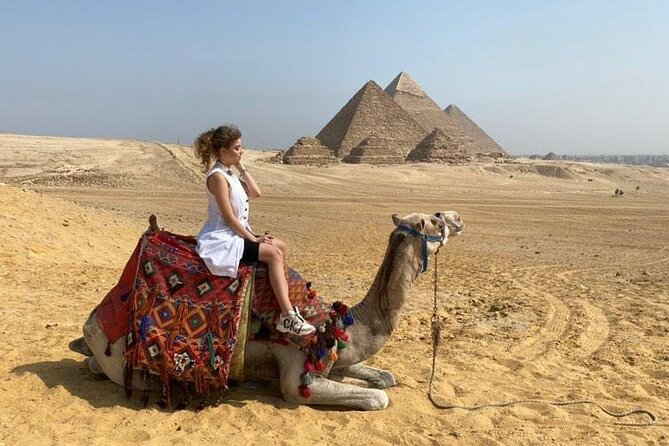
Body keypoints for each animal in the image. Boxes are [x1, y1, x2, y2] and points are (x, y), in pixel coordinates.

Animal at [72, 211, 464, 410]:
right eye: (432, 221)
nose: (456, 217)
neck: (342, 323)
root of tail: (93, 319)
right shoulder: (296, 374)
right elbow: (378, 397)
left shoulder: (337, 356)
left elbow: (384, 378)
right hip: (126, 358)